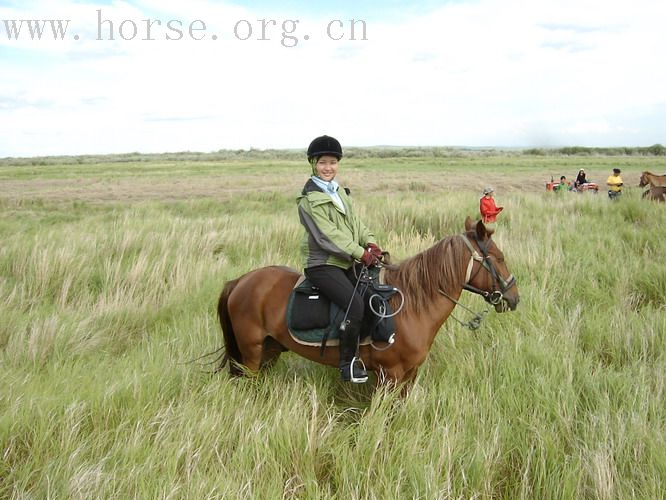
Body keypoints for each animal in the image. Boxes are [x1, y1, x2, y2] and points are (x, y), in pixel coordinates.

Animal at [217, 217, 520, 384]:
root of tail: (240, 281)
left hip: (270, 349)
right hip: (251, 354)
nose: (514, 297)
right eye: (499, 257)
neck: (413, 305)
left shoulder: (409, 375)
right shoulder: (391, 375)